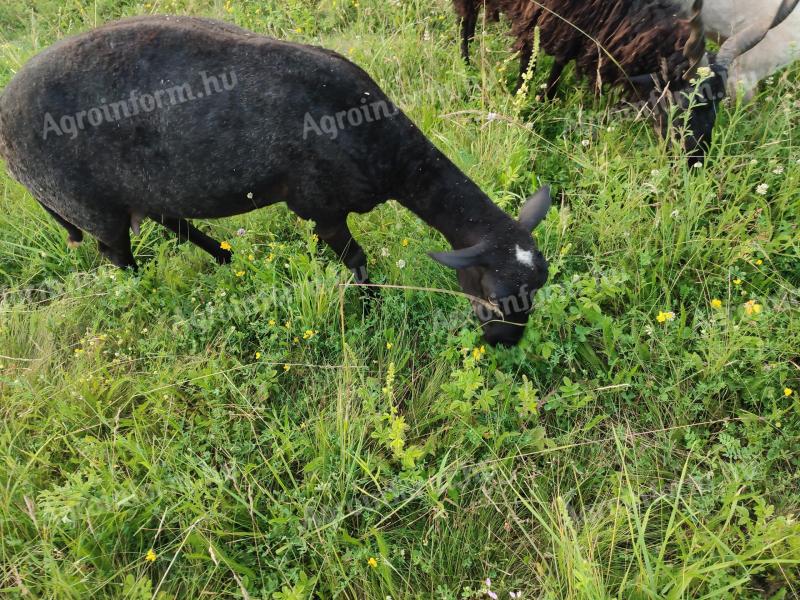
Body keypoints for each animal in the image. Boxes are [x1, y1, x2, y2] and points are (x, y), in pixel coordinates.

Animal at [0, 15, 552, 346]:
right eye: (496, 294)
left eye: (538, 288)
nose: (504, 344)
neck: (392, 153)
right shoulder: (320, 206)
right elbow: (357, 260)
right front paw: (372, 305)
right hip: (89, 204)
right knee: (118, 255)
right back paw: (151, 290)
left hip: (143, 186)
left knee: (173, 222)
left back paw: (226, 259)